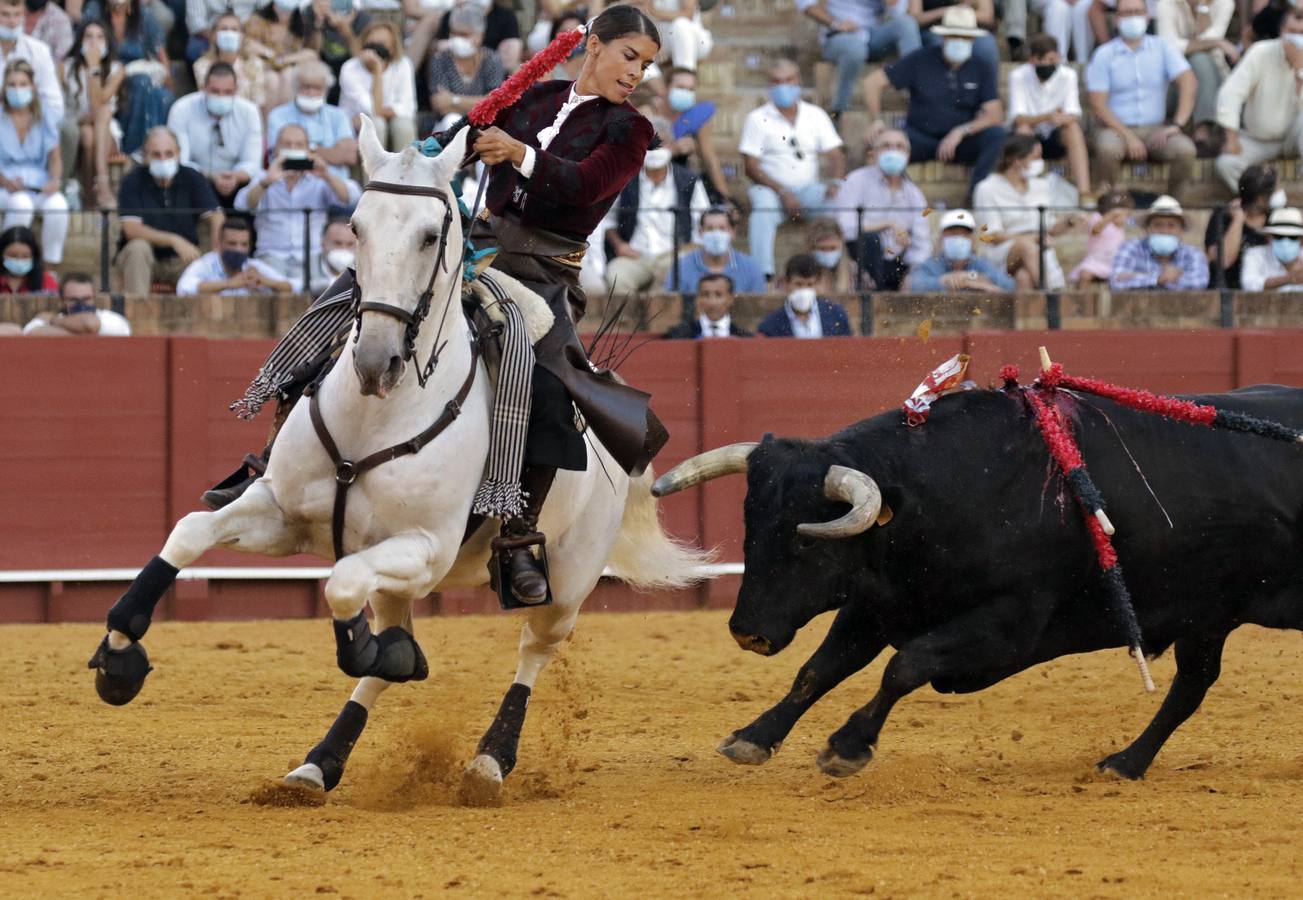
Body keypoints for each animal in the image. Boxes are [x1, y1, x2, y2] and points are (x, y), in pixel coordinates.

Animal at [90, 117, 708, 802]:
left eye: (431, 234)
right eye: (356, 226)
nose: (374, 360)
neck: (374, 417)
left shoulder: (427, 547)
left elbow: (341, 586)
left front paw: (380, 653)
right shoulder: (282, 513)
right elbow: (191, 531)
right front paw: (118, 657)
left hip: (567, 582)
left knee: (531, 651)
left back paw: (488, 761)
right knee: (392, 640)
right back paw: (319, 763)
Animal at [656, 382, 1303, 776]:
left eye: (806, 537)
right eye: (751, 522)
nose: (748, 632)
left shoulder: (1009, 625)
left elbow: (905, 666)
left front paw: (848, 746)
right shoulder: (880, 603)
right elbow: (818, 669)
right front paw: (753, 737)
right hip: (1208, 617)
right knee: (1194, 683)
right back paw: (1126, 762)